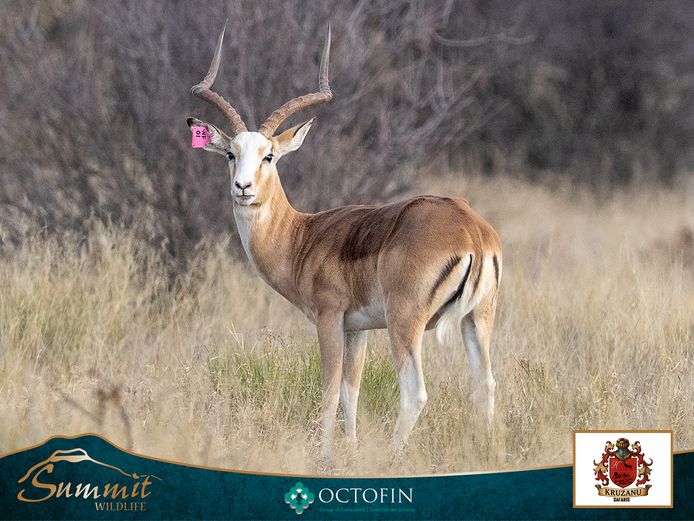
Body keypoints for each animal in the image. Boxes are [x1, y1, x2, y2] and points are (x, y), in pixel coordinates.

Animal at [187, 24, 502, 458]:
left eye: (269, 155)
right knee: (485, 385)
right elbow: (351, 392)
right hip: (477, 320)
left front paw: (326, 454)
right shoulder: (358, 328)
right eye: (230, 154)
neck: (302, 237)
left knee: (415, 392)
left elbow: (329, 389)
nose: (243, 188)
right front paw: (349, 449)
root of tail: (471, 229)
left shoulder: (329, 318)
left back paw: (393, 456)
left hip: (405, 323)